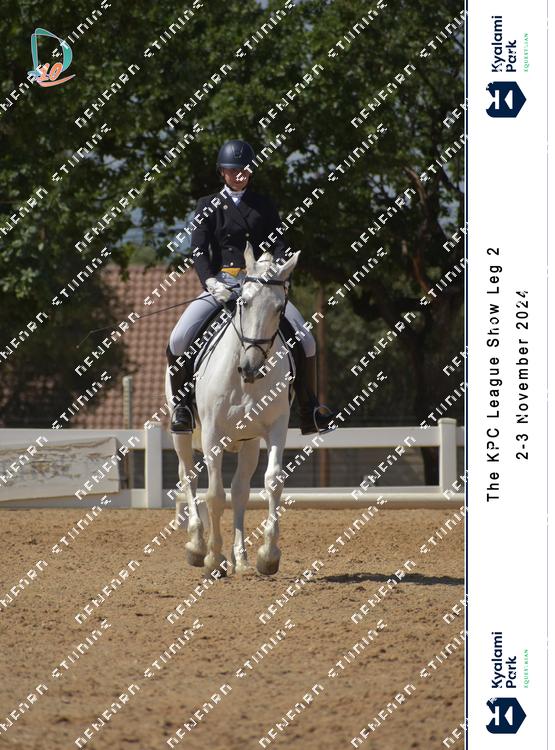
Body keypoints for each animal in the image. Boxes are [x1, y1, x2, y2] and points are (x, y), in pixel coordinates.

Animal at [166, 243, 300, 576]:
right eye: (244, 302)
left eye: (280, 308)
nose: (251, 367)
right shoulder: (212, 433)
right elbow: (214, 494)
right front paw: (213, 557)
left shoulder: (276, 427)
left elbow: (272, 481)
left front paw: (268, 555)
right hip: (182, 431)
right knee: (189, 476)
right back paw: (197, 545)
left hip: (248, 441)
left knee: (240, 490)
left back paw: (241, 557)